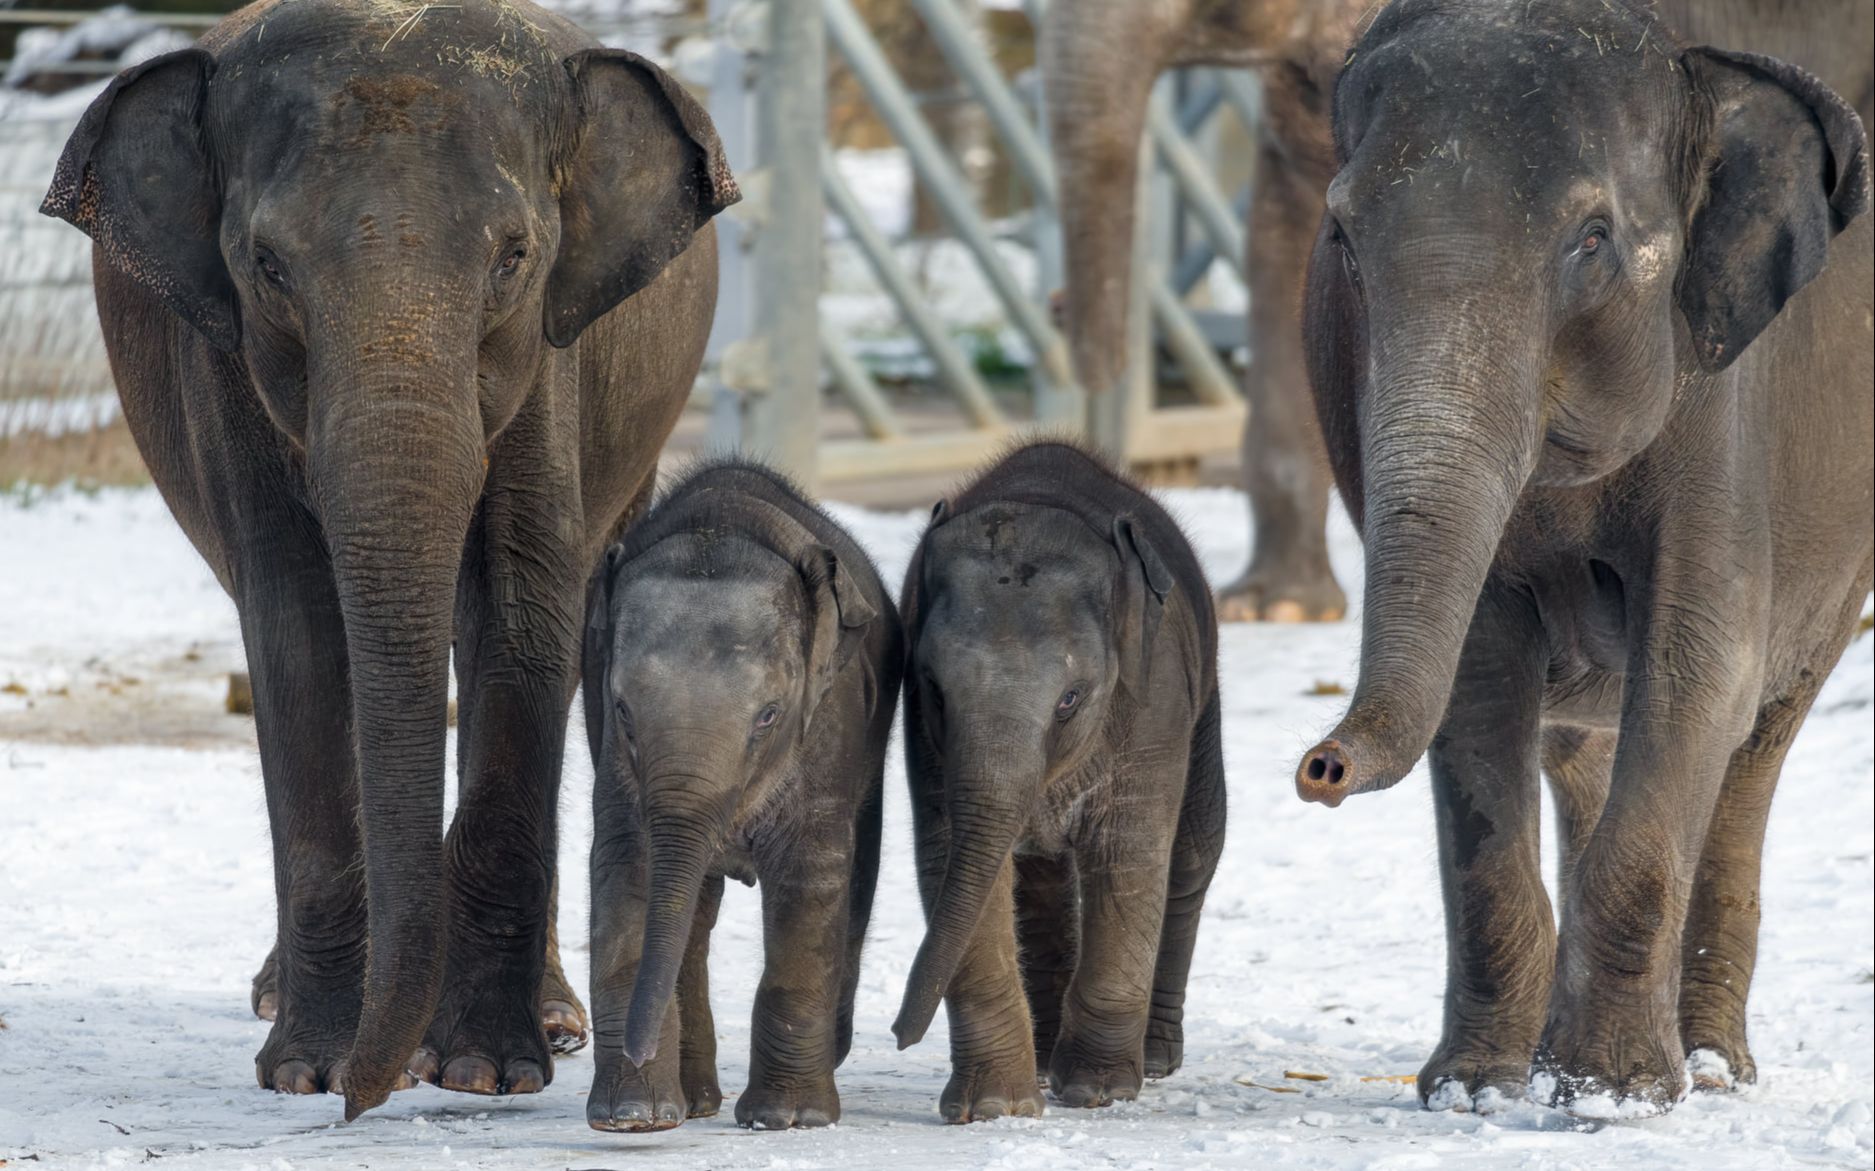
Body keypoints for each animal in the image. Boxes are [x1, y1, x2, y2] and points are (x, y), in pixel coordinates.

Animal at [40, 0, 735, 1116]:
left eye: (513, 256)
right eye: (268, 265)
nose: (369, 1092)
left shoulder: (550, 359)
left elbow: (519, 611)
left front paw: (484, 1071)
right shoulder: (224, 366)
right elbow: (297, 626)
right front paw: (310, 1069)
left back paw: (551, 1020)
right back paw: (288, 1000)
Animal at [585, 451, 907, 1131]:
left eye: (769, 715)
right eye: (623, 711)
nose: (636, 1048)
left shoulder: (829, 722)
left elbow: (811, 874)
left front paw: (786, 1119)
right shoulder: (614, 754)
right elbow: (628, 865)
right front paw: (634, 1114)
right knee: (695, 911)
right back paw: (695, 1101)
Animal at [892, 442, 1230, 1116]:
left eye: (1070, 699)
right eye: (937, 691)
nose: (897, 1036)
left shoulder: (1154, 705)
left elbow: (1128, 856)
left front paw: (1097, 1092)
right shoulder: (923, 735)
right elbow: (949, 859)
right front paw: (993, 1108)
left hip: (1204, 705)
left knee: (1191, 858)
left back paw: (1153, 1059)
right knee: (1042, 887)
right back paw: (1046, 1060)